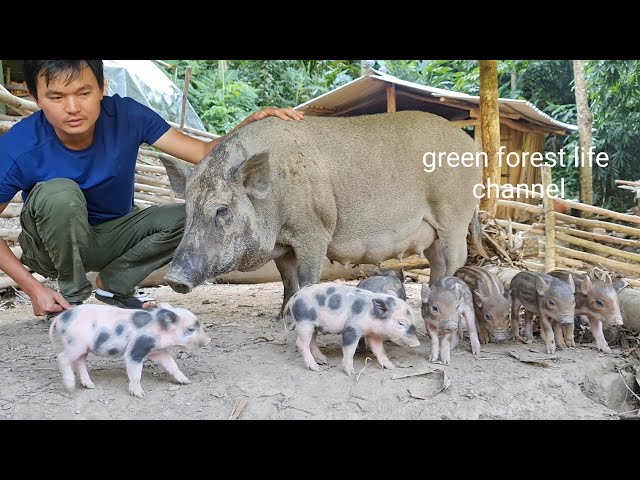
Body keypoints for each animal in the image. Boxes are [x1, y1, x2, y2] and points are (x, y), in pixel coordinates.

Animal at [161, 110, 484, 312]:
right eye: (189, 209)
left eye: (221, 210)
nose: (174, 278)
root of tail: (472, 146)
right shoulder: (283, 243)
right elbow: (287, 279)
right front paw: (281, 316)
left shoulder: (314, 230)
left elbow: (307, 277)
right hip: (431, 231)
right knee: (437, 260)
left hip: (454, 213)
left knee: (457, 257)